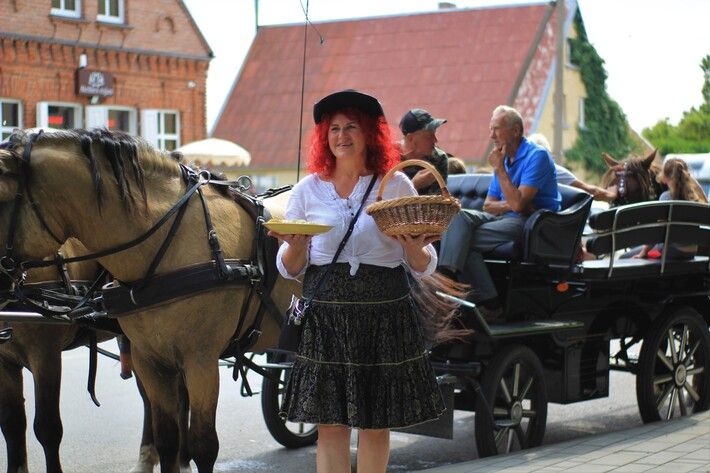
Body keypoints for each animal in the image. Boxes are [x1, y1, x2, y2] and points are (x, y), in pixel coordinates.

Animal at [0, 129, 298, 472]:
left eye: (0, 198)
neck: (173, 241)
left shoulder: (200, 361)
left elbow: (47, 428)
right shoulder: (150, 358)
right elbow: (13, 425)